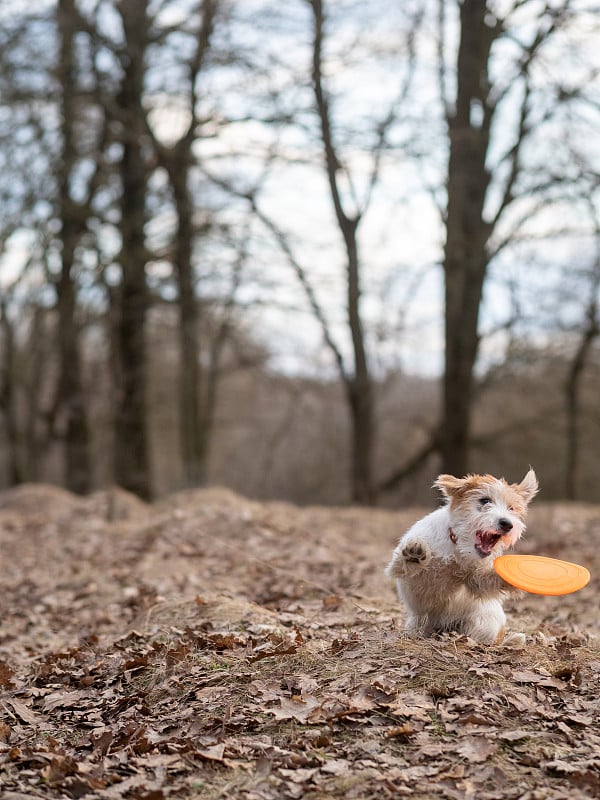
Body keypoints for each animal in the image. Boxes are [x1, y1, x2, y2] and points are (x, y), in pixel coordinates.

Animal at [384, 468, 540, 644]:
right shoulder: (401, 571)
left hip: (484, 623)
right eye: (485, 501)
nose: (507, 524)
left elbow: (488, 580)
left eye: (511, 508)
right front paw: (413, 555)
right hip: (417, 621)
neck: (457, 548)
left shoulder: (476, 579)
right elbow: (403, 566)